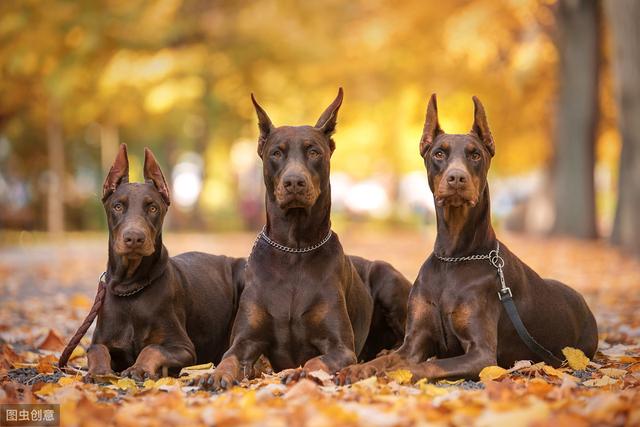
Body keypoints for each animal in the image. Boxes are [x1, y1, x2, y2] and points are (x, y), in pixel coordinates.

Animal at [59, 145, 245, 380]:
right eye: (117, 206)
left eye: (153, 208)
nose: (134, 238)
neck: (130, 288)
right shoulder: (104, 339)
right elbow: (96, 349)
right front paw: (99, 371)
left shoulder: (183, 347)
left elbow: (151, 348)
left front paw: (138, 368)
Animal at [195, 88, 410, 390]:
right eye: (276, 152)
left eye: (313, 151)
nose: (294, 182)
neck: (294, 250)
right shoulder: (245, 340)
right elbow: (229, 358)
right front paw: (215, 374)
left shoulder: (341, 347)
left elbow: (315, 361)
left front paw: (300, 373)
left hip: (388, 279)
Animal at [338, 94, 596, 384]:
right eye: (439, 153)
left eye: (475, 154)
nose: (456, 178)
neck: (453, 258)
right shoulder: (413, 342)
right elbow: (388, 359)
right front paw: (359, 368)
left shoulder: (481, 355)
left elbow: (424, 367)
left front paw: (389, 375)